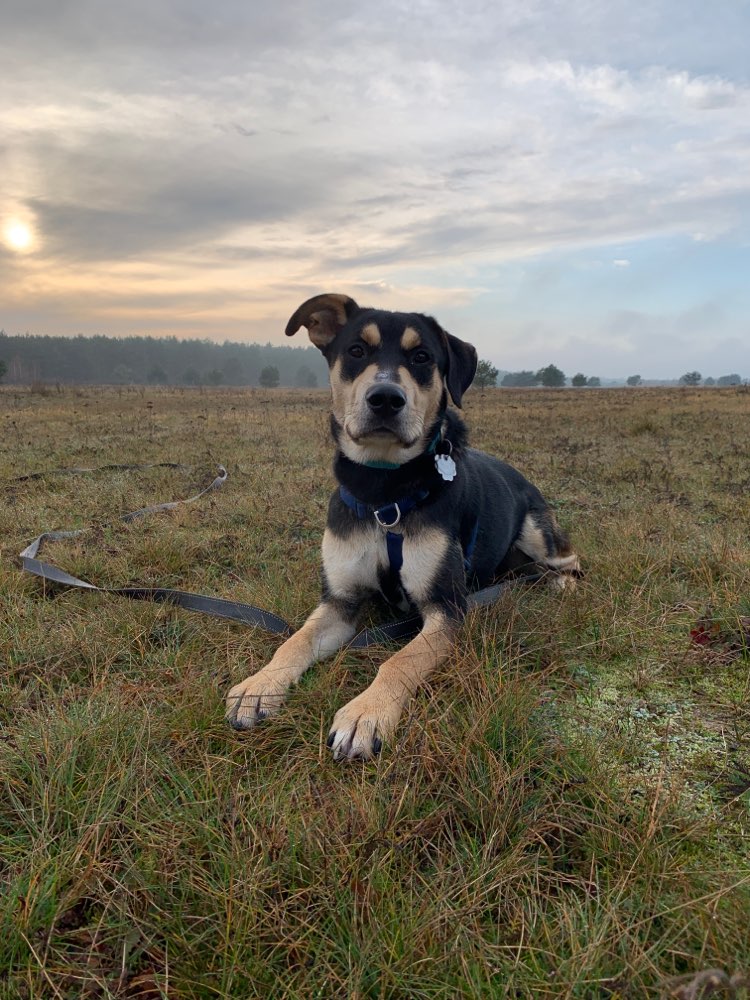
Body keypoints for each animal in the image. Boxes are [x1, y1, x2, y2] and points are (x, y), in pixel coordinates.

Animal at [226, 292, 584, 760]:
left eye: (421, 357)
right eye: (356, 350)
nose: (385, 398)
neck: (385, 494)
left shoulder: (447, 608)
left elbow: (400, 661)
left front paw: (366, 712)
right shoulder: (339, 602)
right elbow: (295, 641)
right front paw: (259, 685)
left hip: (537, 531)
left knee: (571, 560)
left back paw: (562, 584)